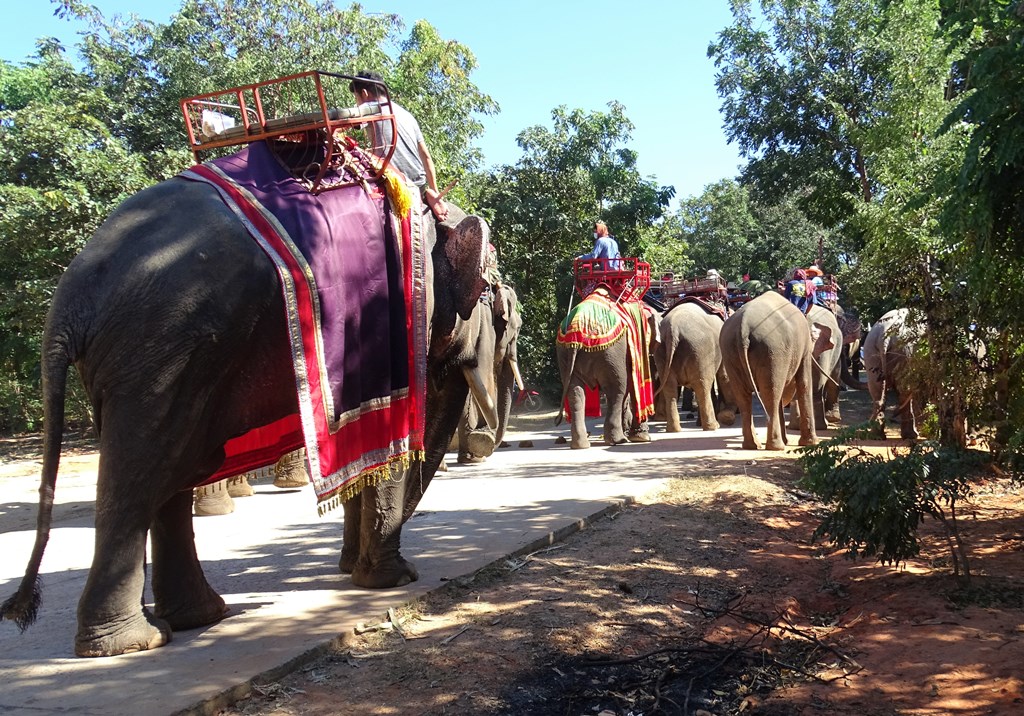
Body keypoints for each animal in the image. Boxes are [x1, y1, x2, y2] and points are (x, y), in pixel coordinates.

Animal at [0, 155, 495, 655]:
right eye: (491, 298)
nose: (356, 562)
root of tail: (69, 301)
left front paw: (360, 570)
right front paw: (394, 580)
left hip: (157, 357)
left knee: (169, 469)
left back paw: (194, 619)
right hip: (160, 350)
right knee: (145, 474)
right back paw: (137, 642)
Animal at [557, 290, 659, 448]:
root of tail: (576, 328)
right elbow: (631, 386)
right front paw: (641, 437)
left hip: (564, 354)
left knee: (575, 393)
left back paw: (581, 445)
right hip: (610, 352)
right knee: (616, 390)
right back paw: (617, 440)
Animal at [651, 301, 733, 432]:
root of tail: (673, 329)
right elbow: (724, 376)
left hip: (661, 351)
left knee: (670, 388)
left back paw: (674, 429)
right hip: (700, 350)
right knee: (702, 386)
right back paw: (713, 427)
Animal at [720, 290, 831, 448]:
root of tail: (743, 327)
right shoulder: (804, 349)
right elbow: (804, 383)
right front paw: (811, 443)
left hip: (730, 350)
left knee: (743, 396)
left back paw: (752, 446)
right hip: (772, 351)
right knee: (771, 393)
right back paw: (776, 446)